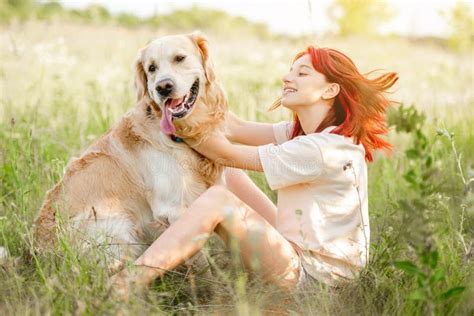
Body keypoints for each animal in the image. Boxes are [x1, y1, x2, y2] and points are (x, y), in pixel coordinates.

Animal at [32, 32, 226, 272]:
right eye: (151, 68)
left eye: (180, 58)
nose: (163, 87)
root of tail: (38, 253)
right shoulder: (173, 209)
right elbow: (200, 261)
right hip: (119, 228)